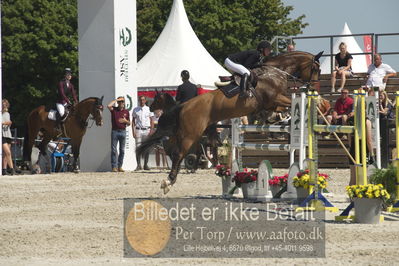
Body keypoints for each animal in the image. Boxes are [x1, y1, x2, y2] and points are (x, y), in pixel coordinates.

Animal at [139, 51, 324, 192]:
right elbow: (286, 105)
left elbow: (280, 109)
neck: (275, 72)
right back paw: (168, 182)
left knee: (173, 149)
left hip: (185, 133)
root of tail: (184, 106)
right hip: (191, 134)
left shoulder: (272, 103)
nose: (314, 87)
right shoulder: (274, 99)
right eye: (316, 69)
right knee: (178, 154)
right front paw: (318, 105)